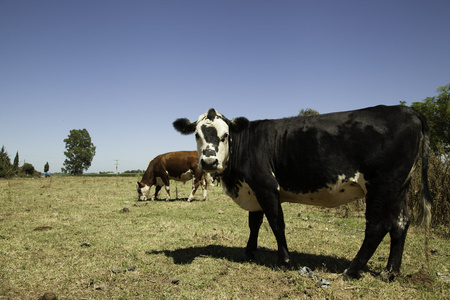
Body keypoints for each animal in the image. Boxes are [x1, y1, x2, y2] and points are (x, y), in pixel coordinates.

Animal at [173, 105, 432, 282]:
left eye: (225, 135)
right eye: (197, 135)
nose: (209, 162)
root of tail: (406, 110)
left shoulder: (266, 186)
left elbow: (276, 222)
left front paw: (284, 259)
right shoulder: (253, 189)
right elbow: (254, 223)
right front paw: (249, 252)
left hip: (381, 186)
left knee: (377, 227)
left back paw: (351, 270)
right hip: (400, 188)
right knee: (401, 223)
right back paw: (390, 272)